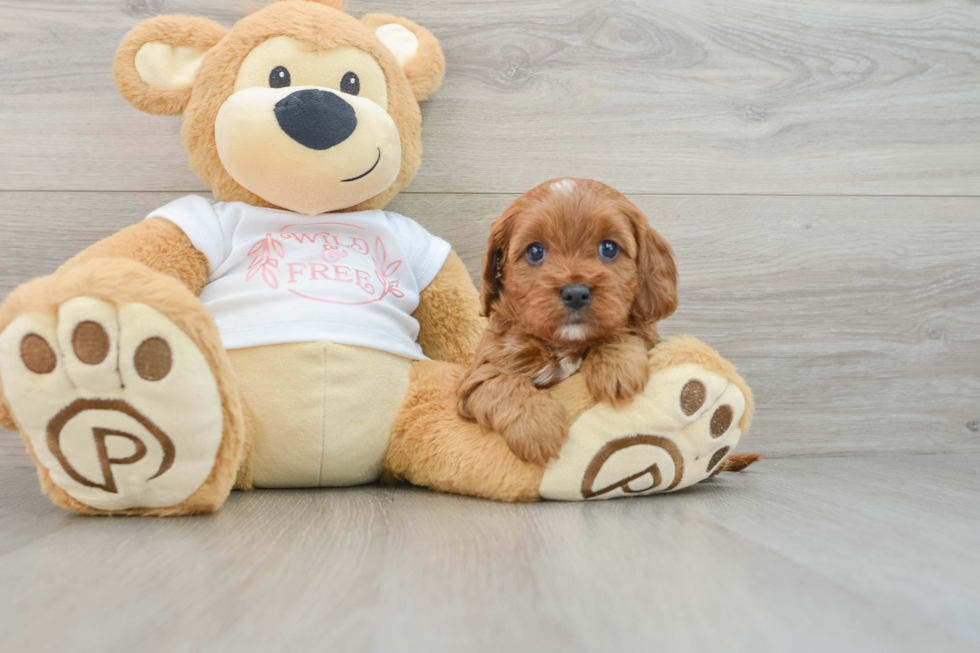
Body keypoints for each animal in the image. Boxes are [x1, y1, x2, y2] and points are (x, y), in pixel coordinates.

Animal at [456, 178, 676, 464]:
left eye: (609, 248)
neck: (564, 343)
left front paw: (617, 369)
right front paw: (536, 429)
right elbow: (502, 384)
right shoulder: (476, 377)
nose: (576, 293)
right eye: (535, 251)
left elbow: (623, 330)